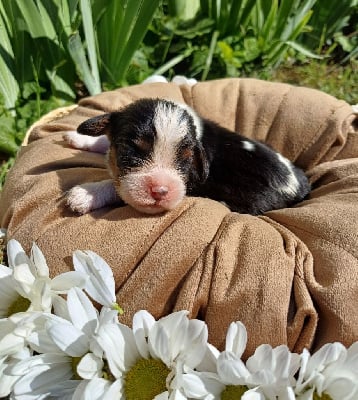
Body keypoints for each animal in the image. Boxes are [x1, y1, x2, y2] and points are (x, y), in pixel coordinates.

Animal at [64, 97, 310, 216]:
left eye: (186, 158)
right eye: (130, 151)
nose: (160, 191)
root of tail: (301, 183)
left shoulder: (192, 182)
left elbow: (117, 187)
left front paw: (85, 194)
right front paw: (77, 138)